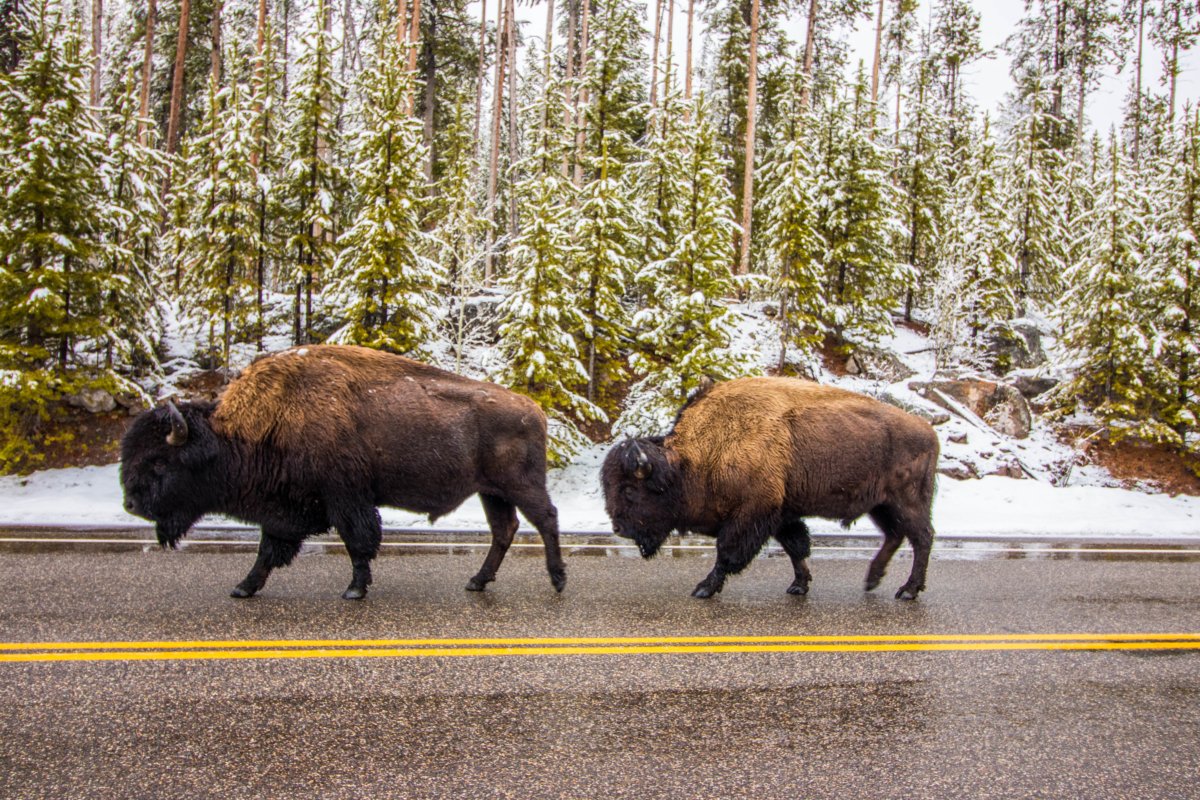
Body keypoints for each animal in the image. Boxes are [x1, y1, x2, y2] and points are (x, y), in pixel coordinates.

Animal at [120, 345, 566, 599]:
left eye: (159, 461)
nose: (131, 504)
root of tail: (534, 408)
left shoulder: (346, 498)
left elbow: (357, 542)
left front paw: (354, 590)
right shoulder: (283, 510)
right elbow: (268, 549)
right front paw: (243, 588)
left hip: (520, 485)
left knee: (545, 519)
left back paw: (558, 580)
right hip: (491, 492)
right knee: (504, 530)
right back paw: (476, 582)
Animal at [600, 379, 936, 597]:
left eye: (630, 490)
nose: (618, 528)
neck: (691, 460)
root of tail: (928, 429)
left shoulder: (752, 513)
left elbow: (728, 552)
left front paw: (704, 588)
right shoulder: (781, 513)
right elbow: (795, 547)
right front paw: (799, 586)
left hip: (907, 502)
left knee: (921, 538)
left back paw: (908, 590)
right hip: (881, 505)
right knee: (895, 535)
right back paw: (872, 581)